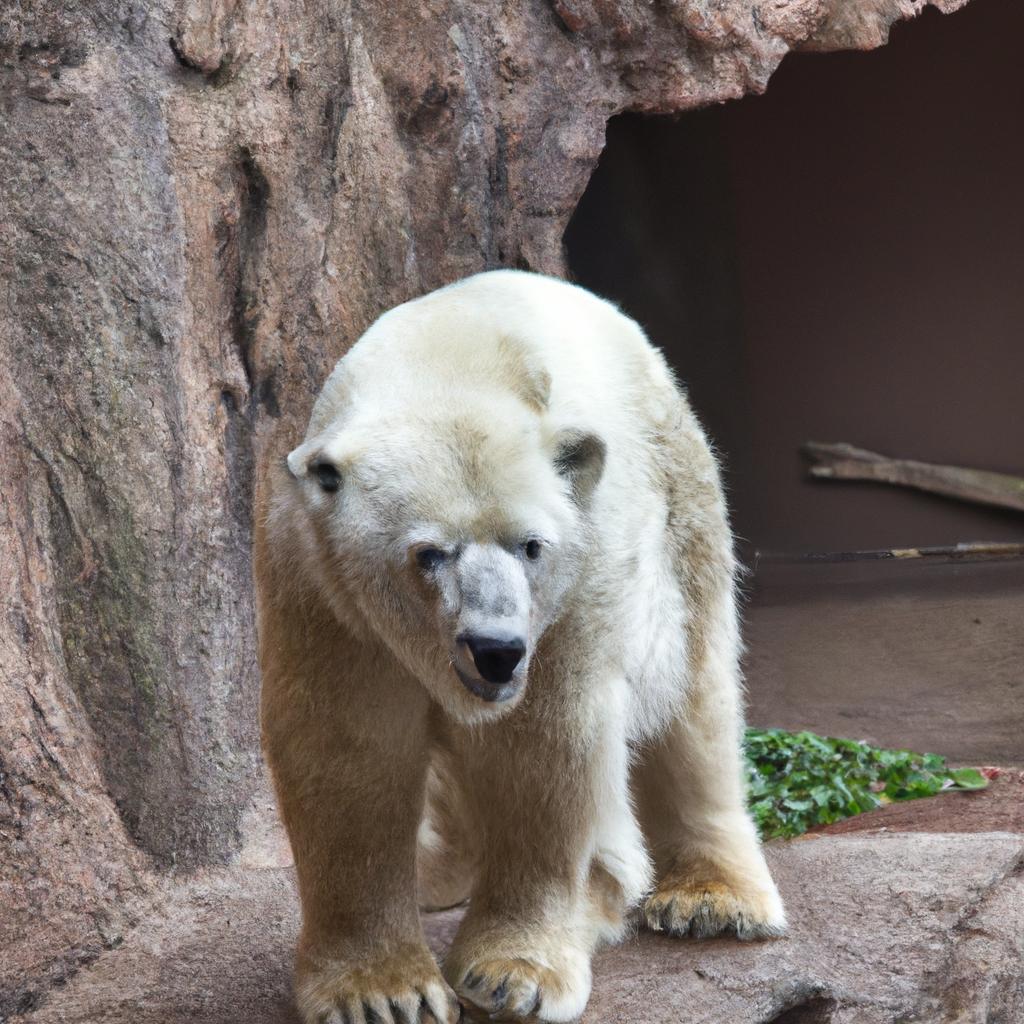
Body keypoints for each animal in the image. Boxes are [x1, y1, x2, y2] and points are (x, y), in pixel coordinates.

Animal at [256, 270, 782, 1024]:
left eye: (531, 545)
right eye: (429, 553)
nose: (497, 649)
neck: (446, 367)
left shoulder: (579, 579)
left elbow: (541, 746)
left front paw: (510, 974)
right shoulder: (322, 586)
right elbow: (345, 749)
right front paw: (381, 993)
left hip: (680, 501)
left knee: (695, 698)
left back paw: (708, 899)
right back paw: (439, 870)